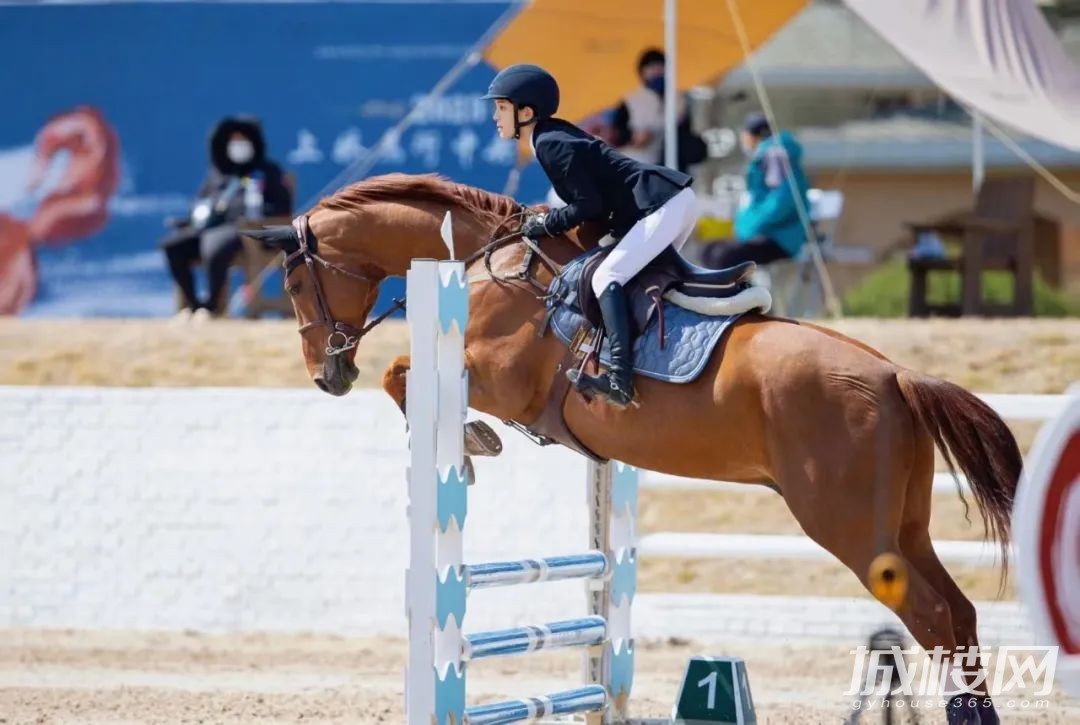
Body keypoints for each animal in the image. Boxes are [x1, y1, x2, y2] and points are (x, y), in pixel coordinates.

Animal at [250, 173, 1020, 724]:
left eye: (292, 282)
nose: (326, 374)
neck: (486, 266)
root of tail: (895, 374)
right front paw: (470, 441)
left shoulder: (497, 377)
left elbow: (402, 374)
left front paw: (471, 443)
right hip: (905, 526)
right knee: (960, 614)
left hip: (854, 530)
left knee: (934, 618)